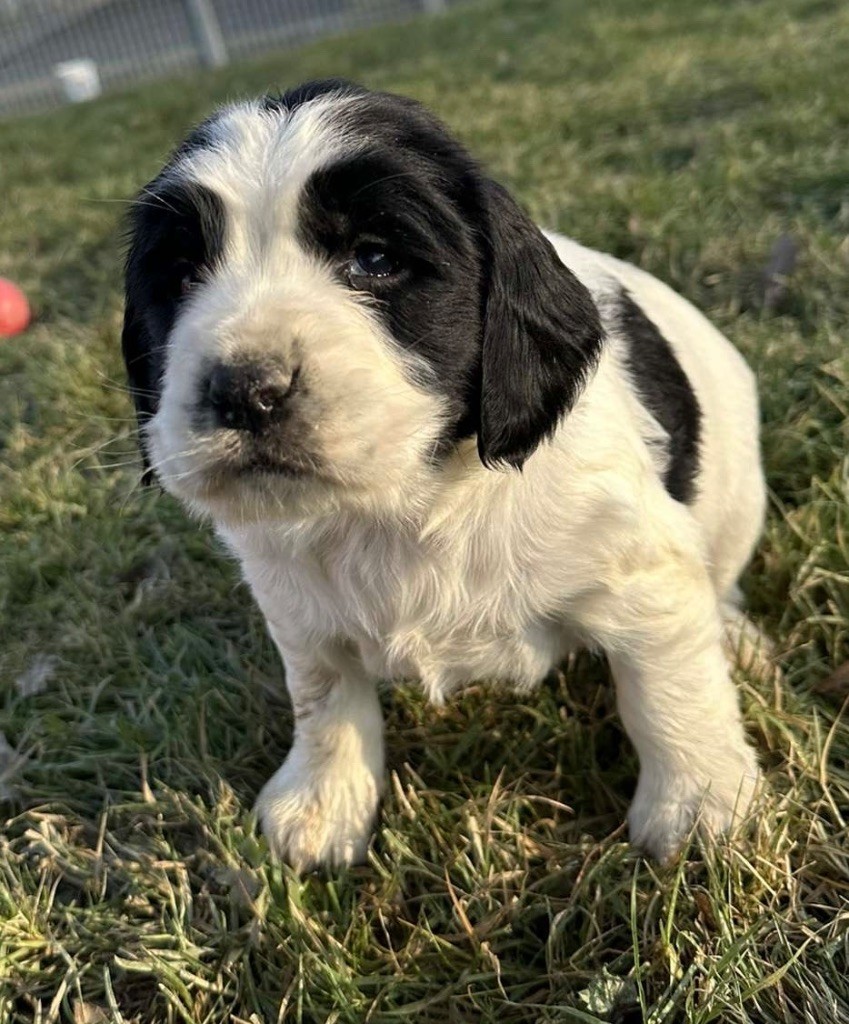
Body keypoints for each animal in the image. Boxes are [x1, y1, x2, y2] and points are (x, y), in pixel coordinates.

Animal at [124, 77, 770, 872]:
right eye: (182, 276)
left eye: (374, 258)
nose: (247, 390)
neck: (404, 500)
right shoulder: (294, 602)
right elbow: (324, 693)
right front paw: (322, 803)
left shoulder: (642, 564)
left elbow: (668, 680)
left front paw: (699, 804)